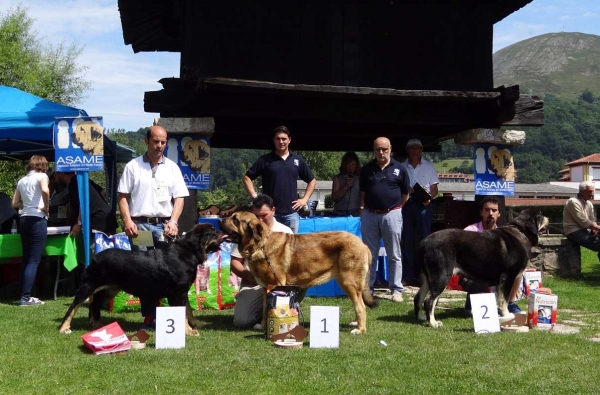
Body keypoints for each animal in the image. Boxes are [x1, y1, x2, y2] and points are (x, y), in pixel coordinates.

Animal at [58, 224, 221, 336]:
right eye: (213, 232)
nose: (222, 231)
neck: (188, 252)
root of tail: (95, 257)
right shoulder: (178, 293)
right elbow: (183, 313)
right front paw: (188, 331)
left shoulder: (182, 292)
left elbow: (188, 311)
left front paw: (195, 325)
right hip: (89, 285)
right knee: (73, 307)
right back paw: (64, 328)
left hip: (108, 290)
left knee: (94, 305)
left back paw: (96, 325)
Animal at [218, 212, 378, 336]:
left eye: (235, 219)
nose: (219, 220)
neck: (260, 244)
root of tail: (363, 244)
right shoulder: (265, 288)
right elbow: (264, 308)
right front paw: (263, 325)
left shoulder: (276, 283)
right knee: (358, 303)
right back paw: (356, 323)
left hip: (349, 281)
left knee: (360, 306)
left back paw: (360, 329)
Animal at [412, 209, 548, 330]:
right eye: (540, 216)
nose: (547, 217)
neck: (521, 231)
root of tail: (424, 243)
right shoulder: (508, 277)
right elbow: (505, 299)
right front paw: (507, 315)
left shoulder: (501, 281)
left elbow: (500, 299)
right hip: (442, 276)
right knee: (429, 301)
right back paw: (433, 323)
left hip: (429, 278)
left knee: (418, 297)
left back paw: (420, 317)